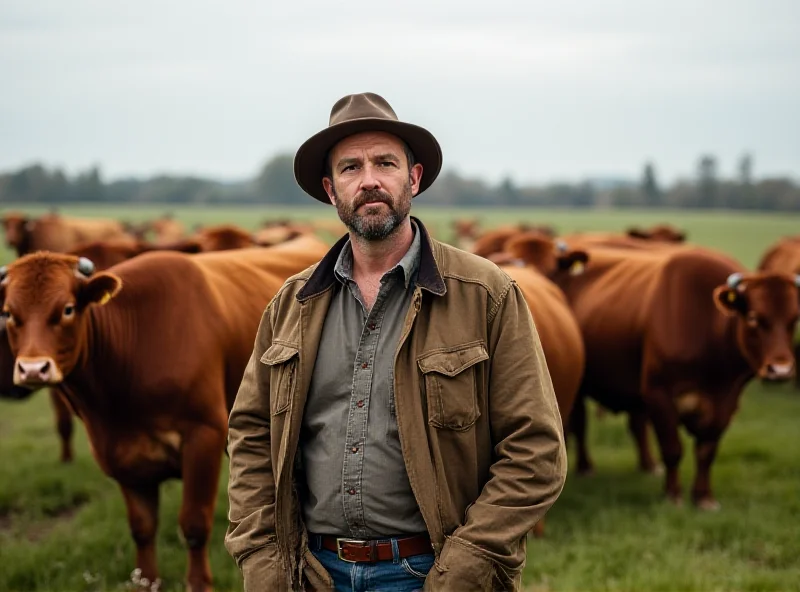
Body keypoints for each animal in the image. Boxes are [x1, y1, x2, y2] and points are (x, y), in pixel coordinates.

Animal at [0, 235, 330, 588]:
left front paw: (199, 584)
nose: (33, 369)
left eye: (67, 309)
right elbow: (142, 529)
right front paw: (147, 581)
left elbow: (194, 526)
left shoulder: (205, 435)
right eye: (9, 314)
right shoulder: (121, 456)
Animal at [552, 247, 800, 512]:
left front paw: (704, 497)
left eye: (794, 319)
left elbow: (706, 451)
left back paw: (648, 466)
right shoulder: (659, 394)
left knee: (636, 423)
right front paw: (673, 495)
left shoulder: (726, 403)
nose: (781, 369)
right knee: (580, 424)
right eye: (754, 317)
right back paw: (585, 467)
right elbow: (672, 448)